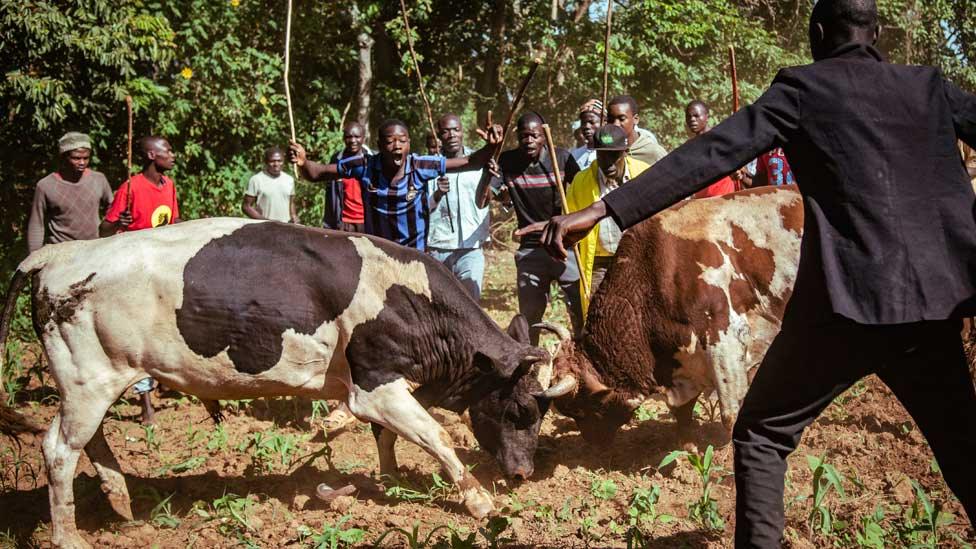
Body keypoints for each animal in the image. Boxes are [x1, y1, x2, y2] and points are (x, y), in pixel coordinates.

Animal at [1, 218, 556, 548]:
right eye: (522, 411)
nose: (524, 474)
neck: (406, 295)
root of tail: (57, 256)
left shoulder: (379, 381)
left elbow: (387, 436)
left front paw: (390, 479)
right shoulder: (373, 385)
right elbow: (436, 436)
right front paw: (480, 501)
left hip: (94, 383)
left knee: (87, 441)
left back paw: (119, 500)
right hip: (87, 380)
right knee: (58, 449)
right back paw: (69, 536)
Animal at [540, 184, 800, 446]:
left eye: (578, 409)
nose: (594, 444)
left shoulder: (726, 341)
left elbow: (730, 414)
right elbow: (682, 412)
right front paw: (689, 448)